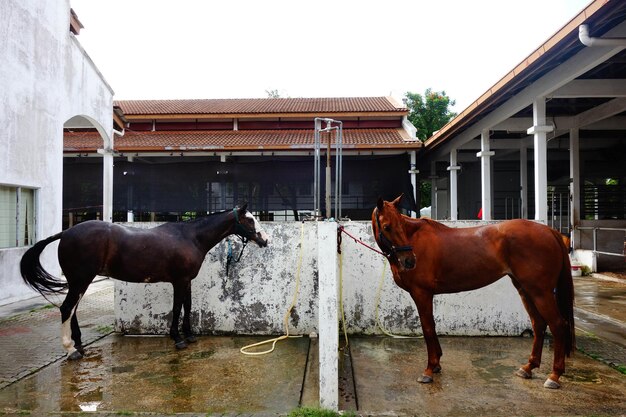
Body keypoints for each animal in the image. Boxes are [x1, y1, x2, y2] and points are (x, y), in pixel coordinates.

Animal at [18, 205, 268, 358]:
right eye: (249, 219)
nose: (265, 240)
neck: (190, 237)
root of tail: (66, 232)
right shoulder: (179, 281)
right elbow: (177, 307)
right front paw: (178, 339)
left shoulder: (187, 281)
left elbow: (187, 307)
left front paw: (189, 335)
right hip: (81, 280)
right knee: (66, 308)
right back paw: (71, 351)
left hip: (79, 281)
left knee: (73, 310)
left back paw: (78, 344)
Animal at [370, 197, 576, 388]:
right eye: (387, 227)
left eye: (401, 226)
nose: (409, 261)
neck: (415, 238)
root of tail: (549, 231)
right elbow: (433, 326)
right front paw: (436, 365)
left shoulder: (422, 294)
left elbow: (427, 328)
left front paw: (429, 370)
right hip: (525, 290)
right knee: (538, 324)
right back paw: (528, 368)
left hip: (541, 292)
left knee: (558, 325)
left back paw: (554, 376)